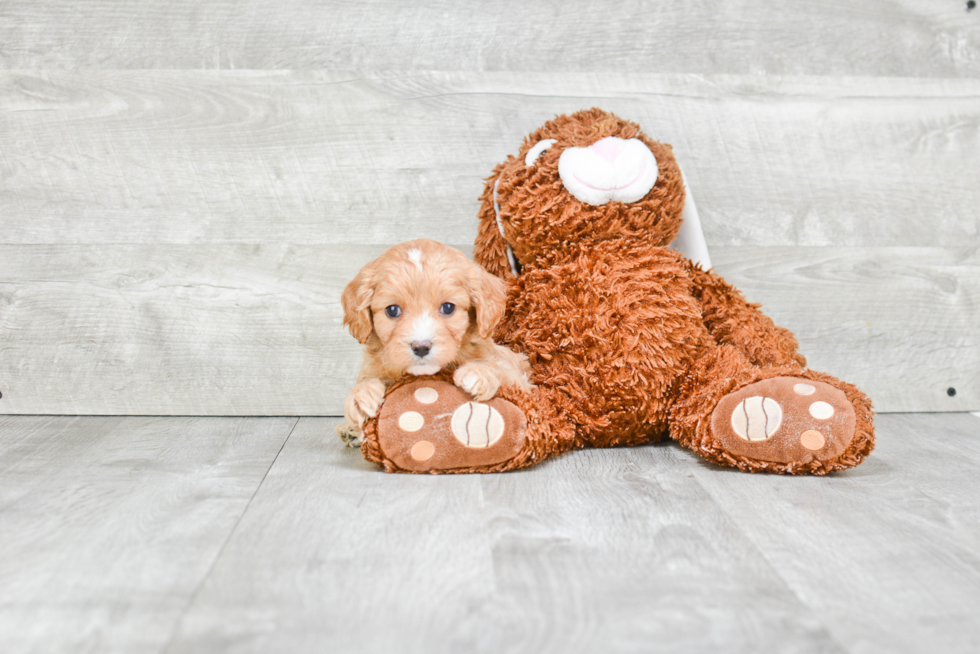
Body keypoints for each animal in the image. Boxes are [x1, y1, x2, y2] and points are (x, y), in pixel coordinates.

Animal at [338, 238, 536, 448]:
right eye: (392, 310)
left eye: (448, 308)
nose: (421, 347)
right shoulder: (373, 367)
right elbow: (367, 379)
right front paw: (360, 396)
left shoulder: (519, 379)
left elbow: (499, 368)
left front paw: (478, 372)